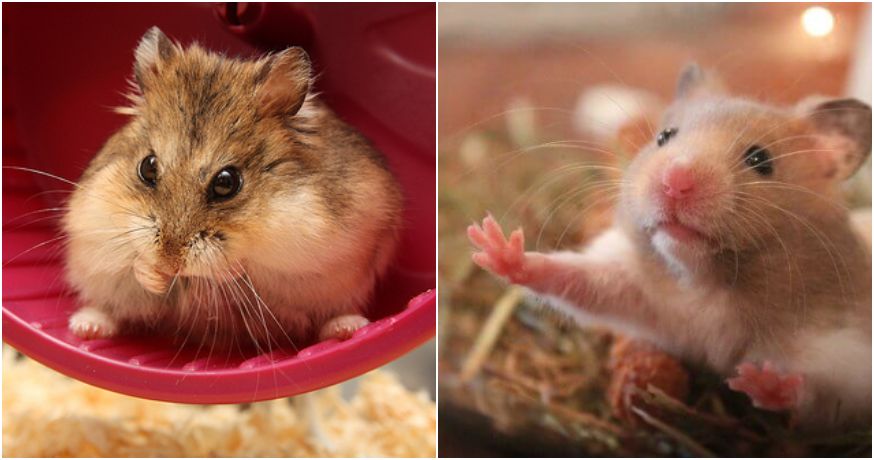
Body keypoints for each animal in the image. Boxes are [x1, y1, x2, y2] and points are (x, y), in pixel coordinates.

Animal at [64, 27, 403, 350]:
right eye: (147, 167)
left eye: (227, 182)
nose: (170, 265)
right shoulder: (96, 227)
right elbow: (132, 262)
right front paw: (154, 275)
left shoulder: (305, 245)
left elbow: (245, 265)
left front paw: (222, 269)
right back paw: (85, 327)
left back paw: (349, 328)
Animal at [468, 63, 872, 430]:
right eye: (664, 136)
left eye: (760, 160)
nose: (675, 180)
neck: (706, 282)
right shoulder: (636, 287)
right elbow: (574, 278)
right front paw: (496, 246)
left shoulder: (843, 355)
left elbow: (817, 392)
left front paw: (761, 381)